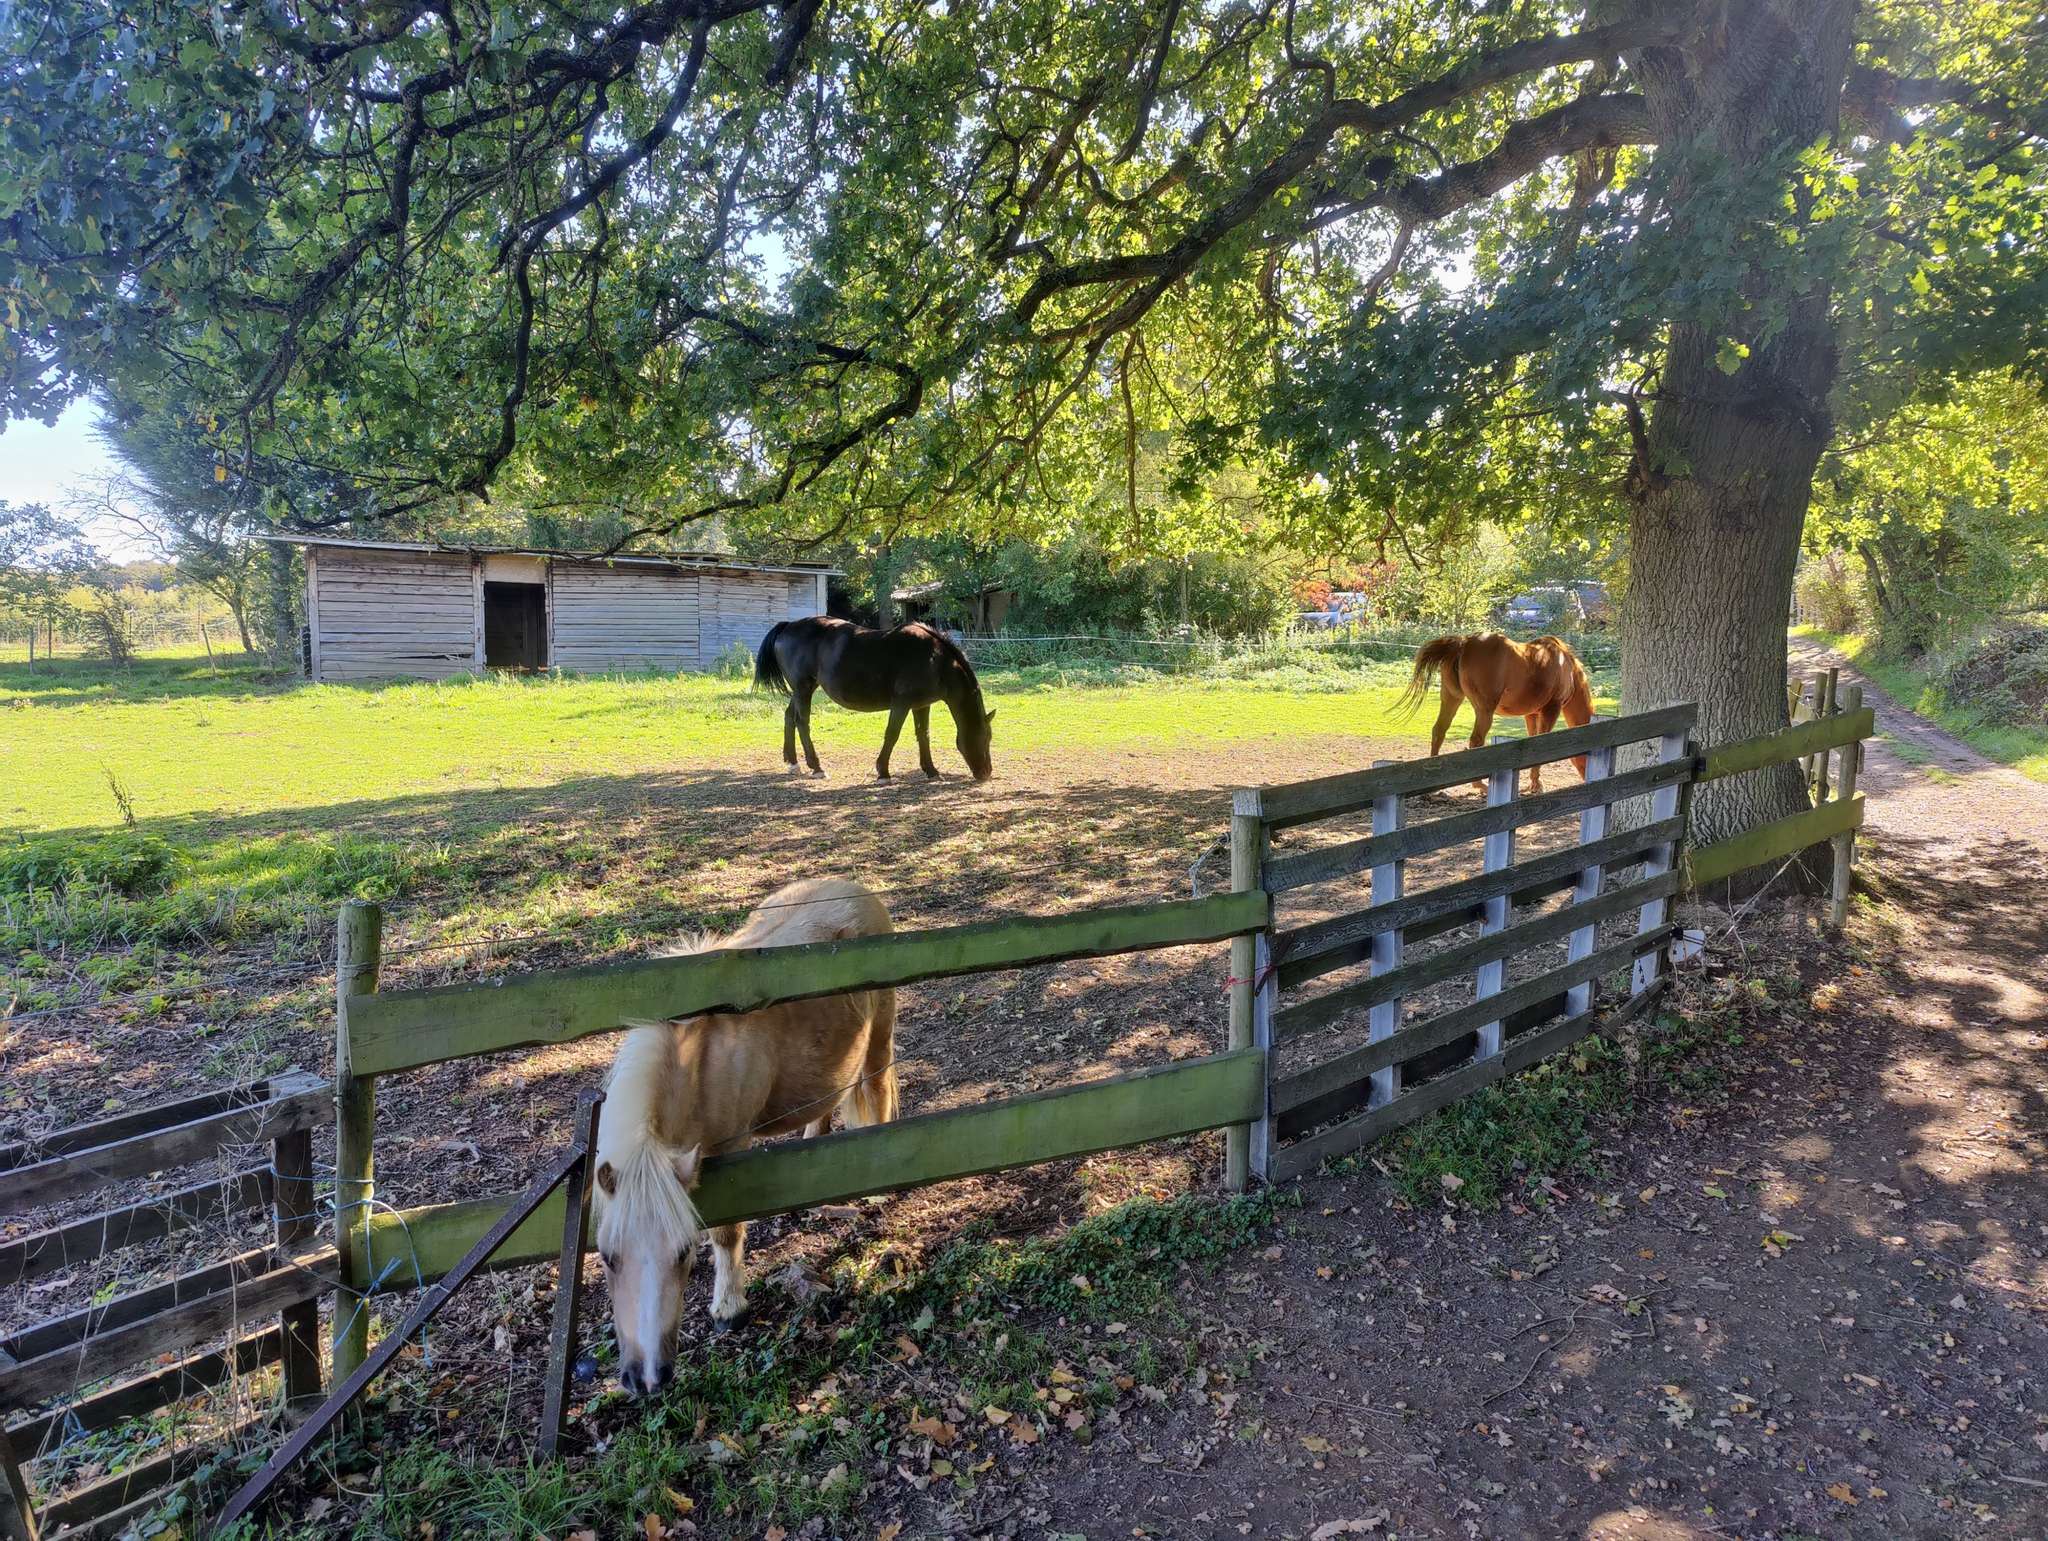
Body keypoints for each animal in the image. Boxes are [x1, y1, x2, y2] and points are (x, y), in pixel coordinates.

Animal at [592, 876, 899, 1395]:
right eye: (608, 1258)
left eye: (681, 1253)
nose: (647, 1379)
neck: (696, 1060)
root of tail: (856, 888)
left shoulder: (731, 1148)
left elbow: (727, 1232)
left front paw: (729, 1308)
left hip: (878, 1041)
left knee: (875, 1095)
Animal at [754, 616, 995, 781]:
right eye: (985, 737)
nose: (986, 773)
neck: (934, 660)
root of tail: (788, 626)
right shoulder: (901, 703)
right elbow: (892, 734)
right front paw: (883, 772)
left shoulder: (921, 706)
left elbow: (923, 735)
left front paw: (931, 770)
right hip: (803, 689)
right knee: (802, 722)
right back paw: (817, 767)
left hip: (801, 690)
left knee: (789, 717)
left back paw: (793, 762)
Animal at [1402, 632, 1595, 795]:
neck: (1565, 665)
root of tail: (1464, 642)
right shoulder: (1551, 710)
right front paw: (1536, 785)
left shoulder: (1531, 714)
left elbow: (1533, 741)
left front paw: (1534, 783)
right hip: (1484, 710)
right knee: (1475, 741)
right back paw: (1480, 785)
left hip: (1451, 698)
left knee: (1439, 731)